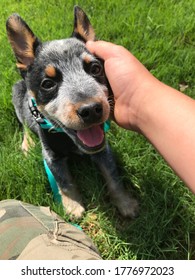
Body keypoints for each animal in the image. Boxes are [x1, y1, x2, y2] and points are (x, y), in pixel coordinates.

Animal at [5, 5, 137, 218]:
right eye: (48, 83)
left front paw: (125, 202)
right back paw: (27, 143)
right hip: (16, 93)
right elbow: (64, 182)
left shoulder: (103, 149)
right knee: (24, 124)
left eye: (95, 68)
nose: (91, 110)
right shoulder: (51, 156)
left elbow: (113, 177)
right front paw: (73, 206)